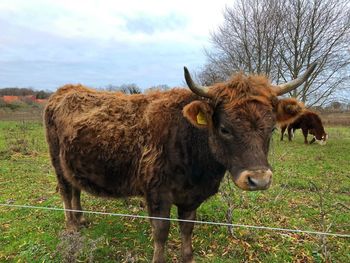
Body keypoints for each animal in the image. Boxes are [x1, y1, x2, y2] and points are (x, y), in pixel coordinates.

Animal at [44, 63, 318, 262]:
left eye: (271, 129)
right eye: (224, 128)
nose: (259, 179)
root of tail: (64, 90)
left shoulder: (191, 198)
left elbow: (187, 229)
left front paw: (188, 257)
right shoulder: (157, 194)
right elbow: (161, 232)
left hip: (73, 164)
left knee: (76, 189)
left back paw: (81, 219)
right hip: (57, 162)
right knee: (66, 192)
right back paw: (72, 227)